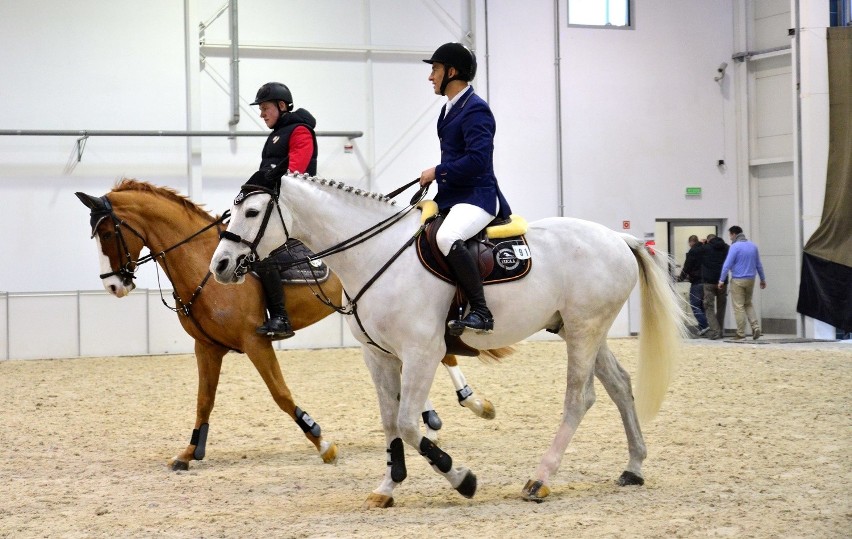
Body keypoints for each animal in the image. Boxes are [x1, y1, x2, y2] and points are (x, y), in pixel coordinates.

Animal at [77, 179, 500, 470]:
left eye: (108, 232)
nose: (114, 285)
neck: (202, 264)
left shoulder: (255, 341)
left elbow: (280, 394)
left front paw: (320, 440)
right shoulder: (207, 347)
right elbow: (204, 400)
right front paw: (190, 450)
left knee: (443, 354)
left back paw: (474, 402)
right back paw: (433, 413)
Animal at [210, 175, 688, 508]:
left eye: (252, 212)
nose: (220, 265)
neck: (374, 254)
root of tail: (618, 237)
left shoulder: (423, 353)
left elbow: (408, 422)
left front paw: (462, 479)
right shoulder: (379, 357)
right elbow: (390, 423)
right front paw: (387, 487)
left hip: (585, 330)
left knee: (579, 398)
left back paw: (540, 479)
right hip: (580, 329)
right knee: (620, 385)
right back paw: (634, 467)